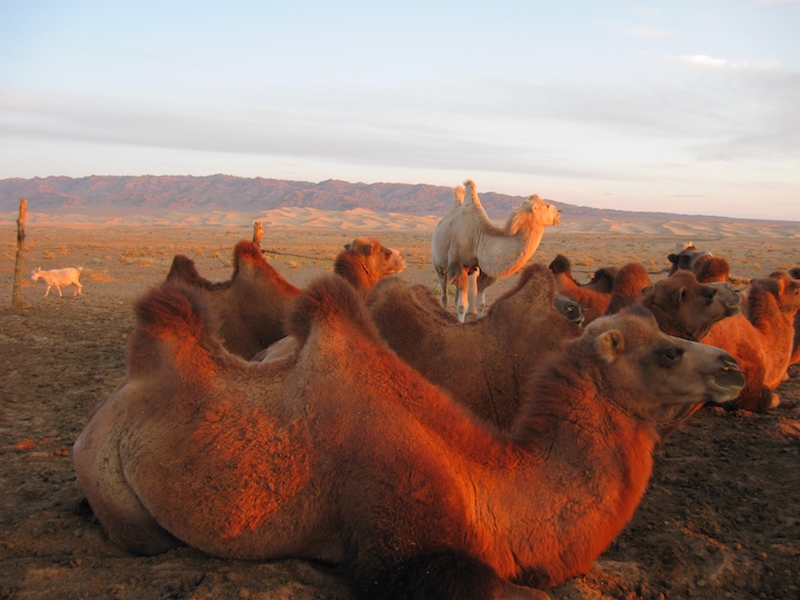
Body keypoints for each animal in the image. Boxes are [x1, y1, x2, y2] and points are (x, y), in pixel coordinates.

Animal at [432, 182, 564, 324]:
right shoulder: (458, 264)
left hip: (470, 271)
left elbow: (480, 303)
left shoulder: (483, 270)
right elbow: (462, 306)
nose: (559, 212)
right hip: (439, 264)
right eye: (547, 206)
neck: (478, 237)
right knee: (444, 294)